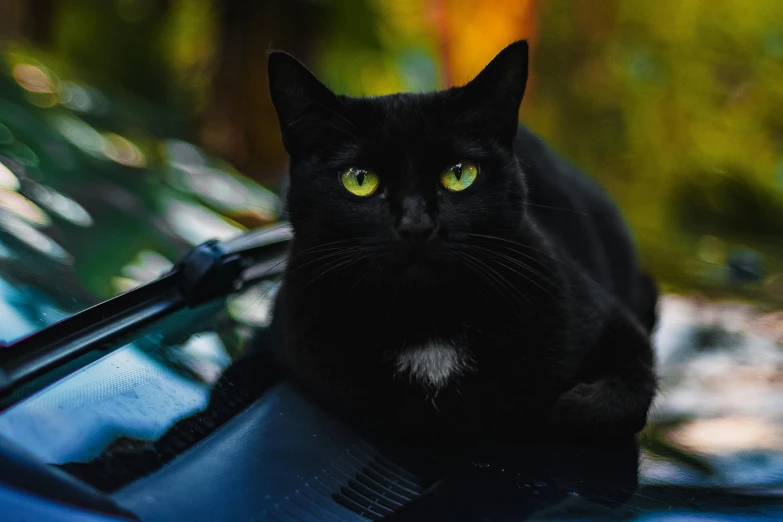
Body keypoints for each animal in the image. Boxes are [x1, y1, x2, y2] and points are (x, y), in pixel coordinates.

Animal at [266, 39, 660, 442]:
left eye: (459, 174)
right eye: (359, 179)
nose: (417, 225)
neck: (428, 325)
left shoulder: (615, 325)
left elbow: (617, 397)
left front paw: (557, 411)